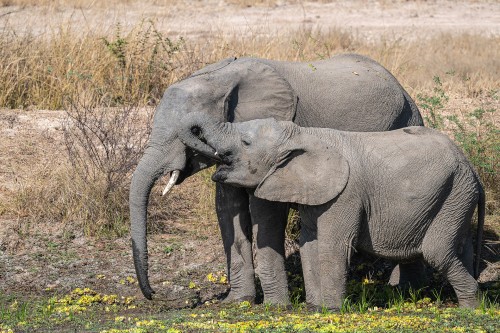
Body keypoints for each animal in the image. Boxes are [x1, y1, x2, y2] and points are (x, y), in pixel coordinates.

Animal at [131, 53, 424, 304]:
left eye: (189, 136)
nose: (155, 294)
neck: (219, 77)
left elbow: (266, 212)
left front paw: (276, 306)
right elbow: (227, 210)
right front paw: (238, 302)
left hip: (408, 118)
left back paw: (405, 292)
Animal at [178, 112, 482, 308]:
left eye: (246, 143)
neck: (302, 134)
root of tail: (472, 168)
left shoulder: (346, 194)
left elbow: (332, 246)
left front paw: (333, 310)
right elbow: (309, 245)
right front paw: (316, 308)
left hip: (455, 190)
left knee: (437, 250)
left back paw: (471, 307)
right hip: (457, 196)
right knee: (461, 246)